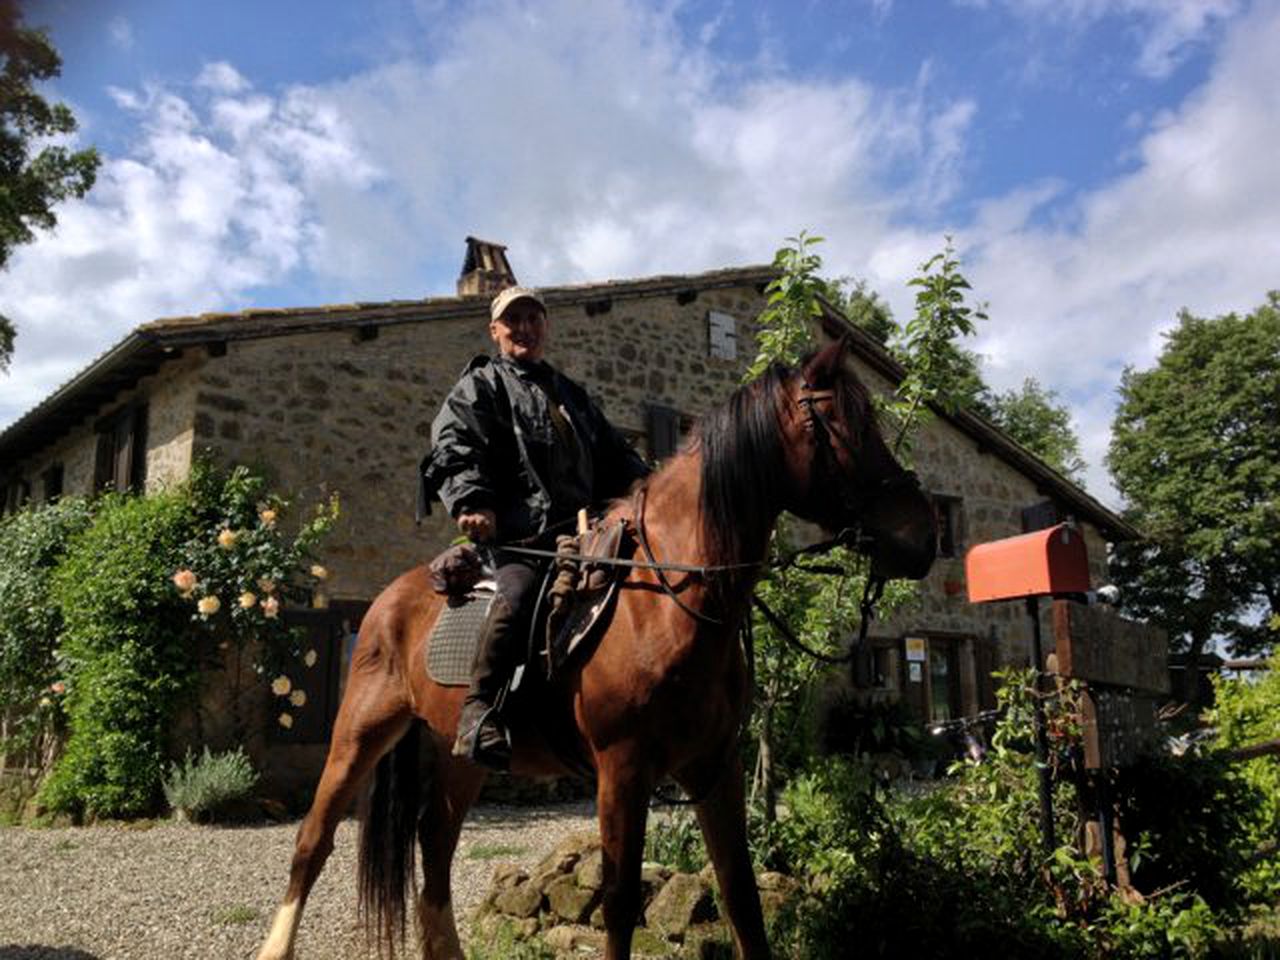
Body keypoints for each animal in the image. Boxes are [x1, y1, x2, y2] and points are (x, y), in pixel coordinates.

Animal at [254, 340, 936, 960]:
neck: (664, 600)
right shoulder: (622, 769)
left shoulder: (717, 766)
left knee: (436, 845)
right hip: (360, 731)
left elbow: (741, 895)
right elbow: (619, 901)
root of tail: (388, 600)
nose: (924, 535)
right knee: (313, 841)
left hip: (460, 755)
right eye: (844, 425)